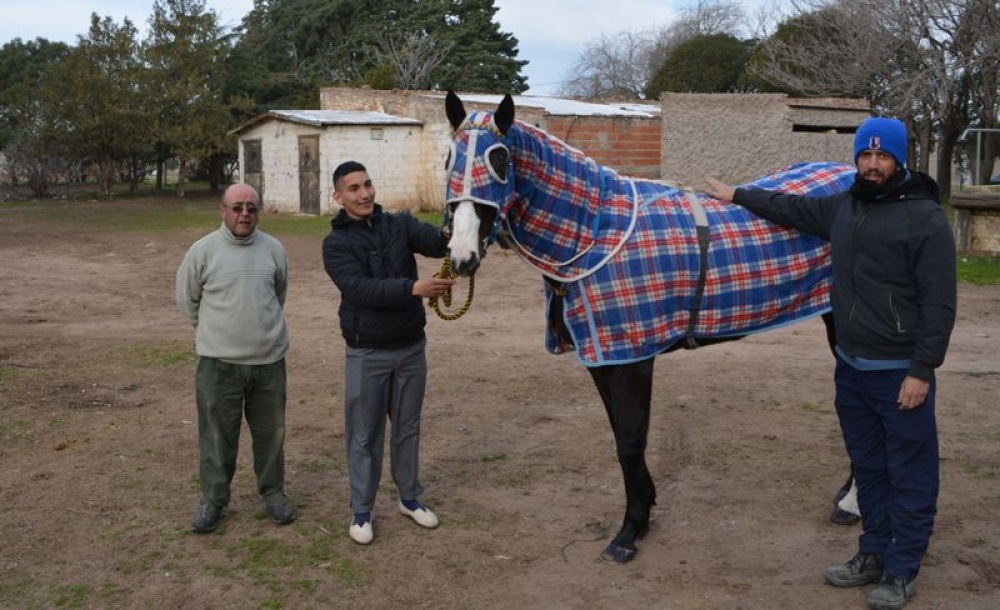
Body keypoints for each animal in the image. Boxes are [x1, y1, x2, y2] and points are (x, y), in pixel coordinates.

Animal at [444, 90, 860, 560]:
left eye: (499, 159)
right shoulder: (602, 358)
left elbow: (630, 439)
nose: (461, 255)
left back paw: (851, 503)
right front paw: (643, 512)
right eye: (449, 157)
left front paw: (628, 532)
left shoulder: (632, 358)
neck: (596, 236)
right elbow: (619, 435)